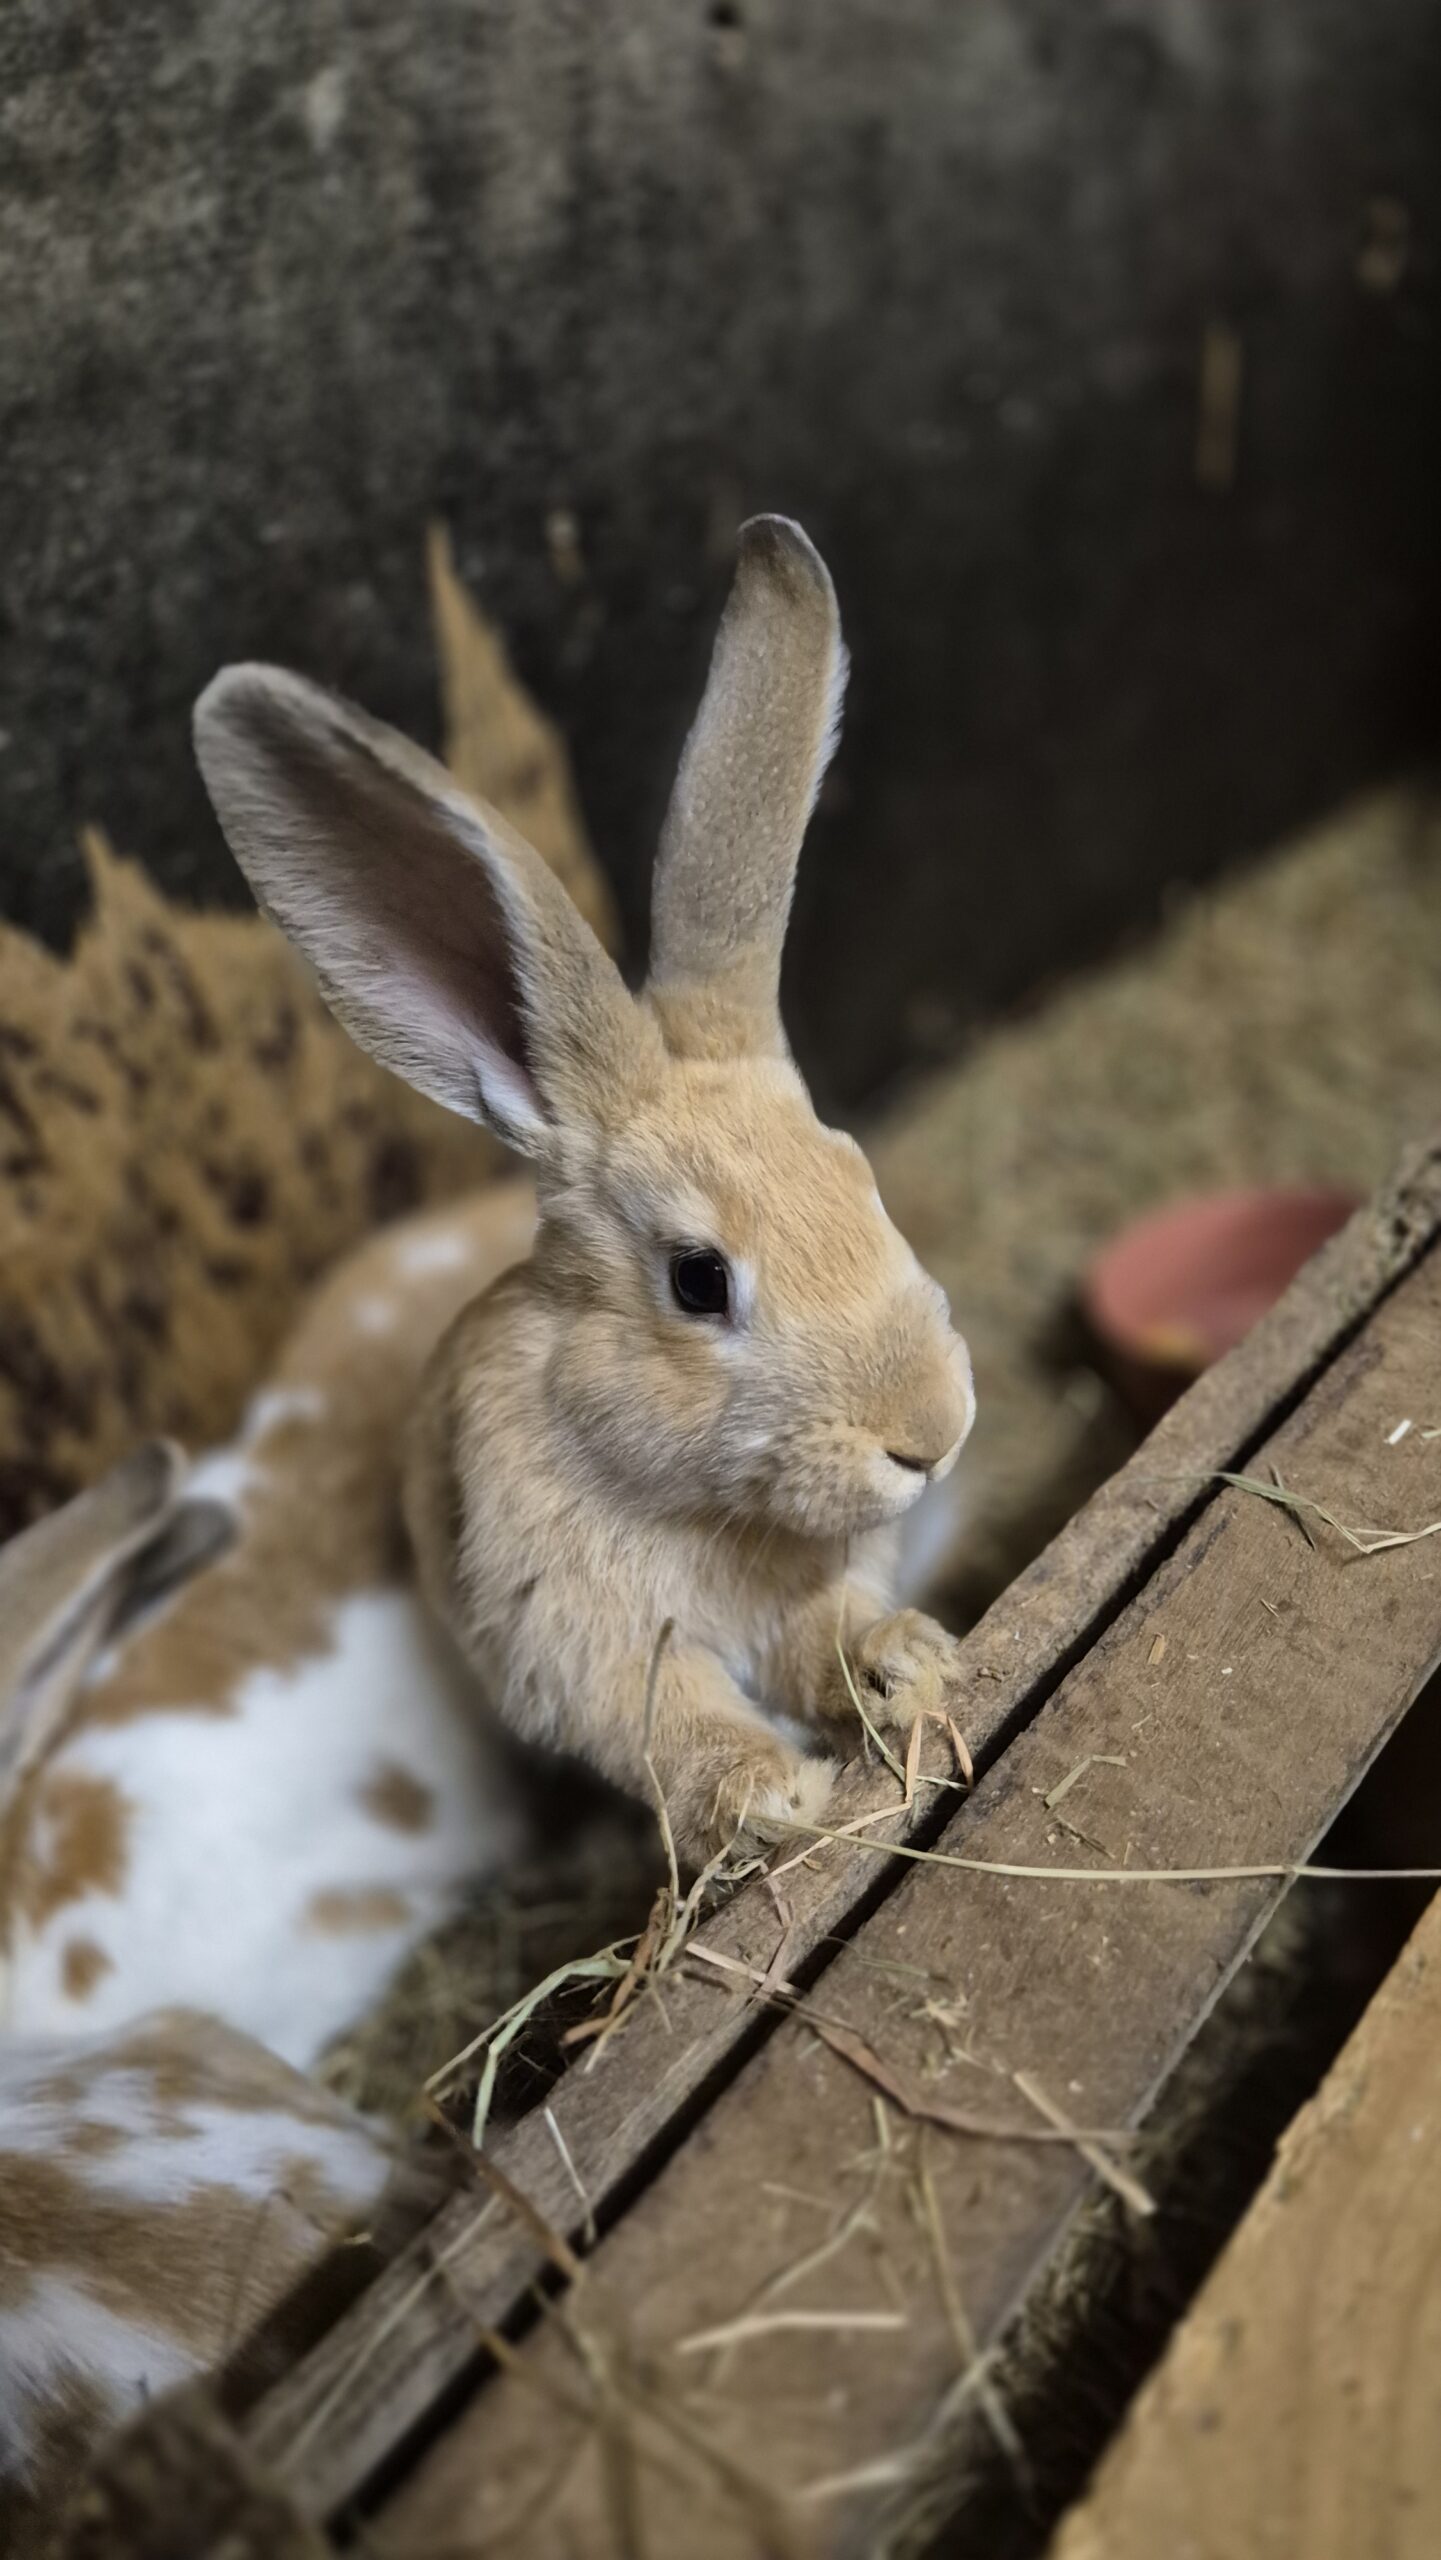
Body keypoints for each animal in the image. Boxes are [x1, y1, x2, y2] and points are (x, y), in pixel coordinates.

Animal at [194, 517, 976, 1867]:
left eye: (856, 1174)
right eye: (699, 1279)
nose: (930, 1435)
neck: (691, 1497)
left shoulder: (809, 1588)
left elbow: (824, 1635)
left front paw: (908, 1667)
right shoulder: (584, 1642)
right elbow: (670, 1723)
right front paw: (769, 1801)